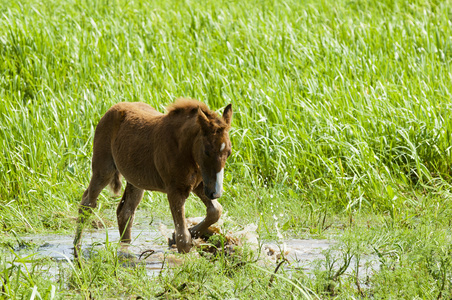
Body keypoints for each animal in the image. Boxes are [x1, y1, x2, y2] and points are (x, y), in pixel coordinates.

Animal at [73, 99, 233, 254]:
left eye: (229, 152)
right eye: (207, 151)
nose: (216, 192)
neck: (184, 149)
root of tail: (112, 109)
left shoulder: (199, 185)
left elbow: (215, 211)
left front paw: (178, 236)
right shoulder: (175, 190)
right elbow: (184, 239)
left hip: (135, 181)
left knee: (125, 212)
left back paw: (125, 248)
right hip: (103, 169)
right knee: (87, 203)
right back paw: (76, 247)